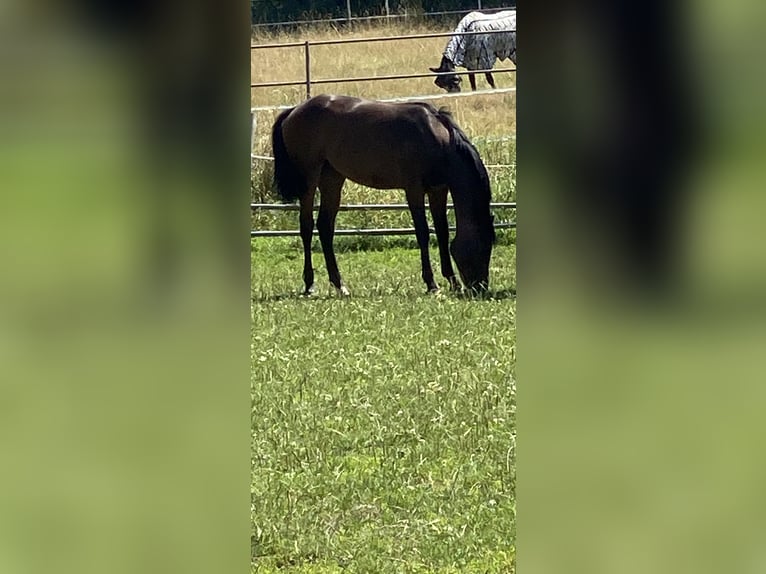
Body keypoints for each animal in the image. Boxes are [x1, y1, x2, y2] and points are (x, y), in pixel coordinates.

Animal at [272, 94, 498, 296]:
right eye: (481, 246)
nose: (480, 287)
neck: (439, 139)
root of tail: (294, 110)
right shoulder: (414, 189)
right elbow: (423, 232)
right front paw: (431, 284)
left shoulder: (438, 190)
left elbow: (442, 232)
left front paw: (453, 282)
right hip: (309, 178)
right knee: (307, 226)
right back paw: (310, 284)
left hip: (332, 178)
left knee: (325, 227)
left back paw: (340, 285)